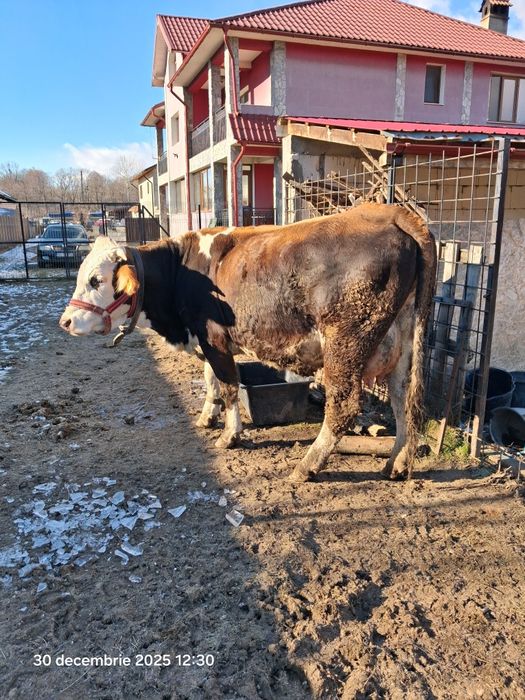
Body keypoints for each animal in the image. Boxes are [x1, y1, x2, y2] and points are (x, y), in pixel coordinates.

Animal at [59, 203, 436, 482]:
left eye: (96, 280)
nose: (65, 322)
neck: (181, 272)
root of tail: (389, 212)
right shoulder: (207, 341)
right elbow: (210, 381)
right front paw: (207, 416)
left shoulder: (214, 338)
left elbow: (228, 387)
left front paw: (230, 435)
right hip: (401, 342)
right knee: (404, 401)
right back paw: (396, 464)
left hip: (346, 343)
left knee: (343, 407)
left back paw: (306, 467)